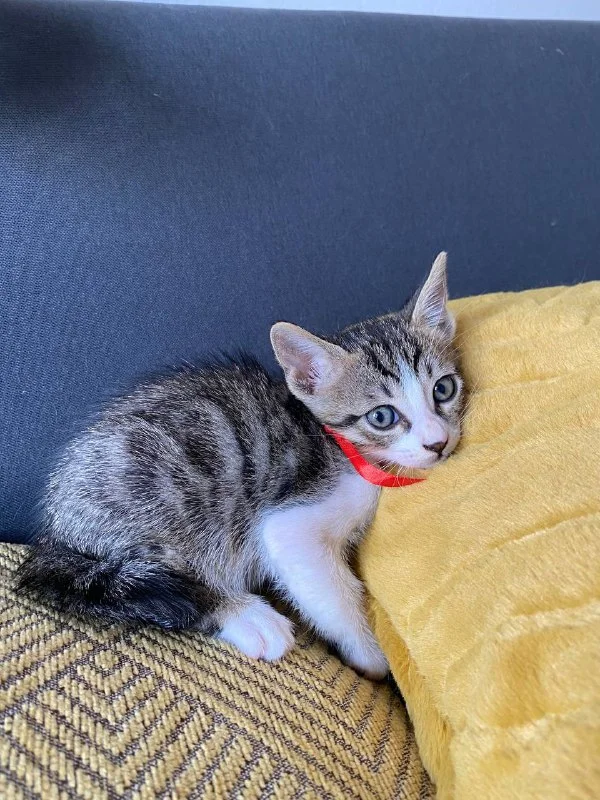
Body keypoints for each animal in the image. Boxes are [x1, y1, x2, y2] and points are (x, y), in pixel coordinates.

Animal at [18, 251, 464, 680]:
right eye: (382, 417)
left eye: (444, 389)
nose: (437, 443)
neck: (345, 449)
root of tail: (54, 533)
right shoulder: (288, 523)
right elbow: (334, 592)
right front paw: (371, 658)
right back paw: (247, 616)